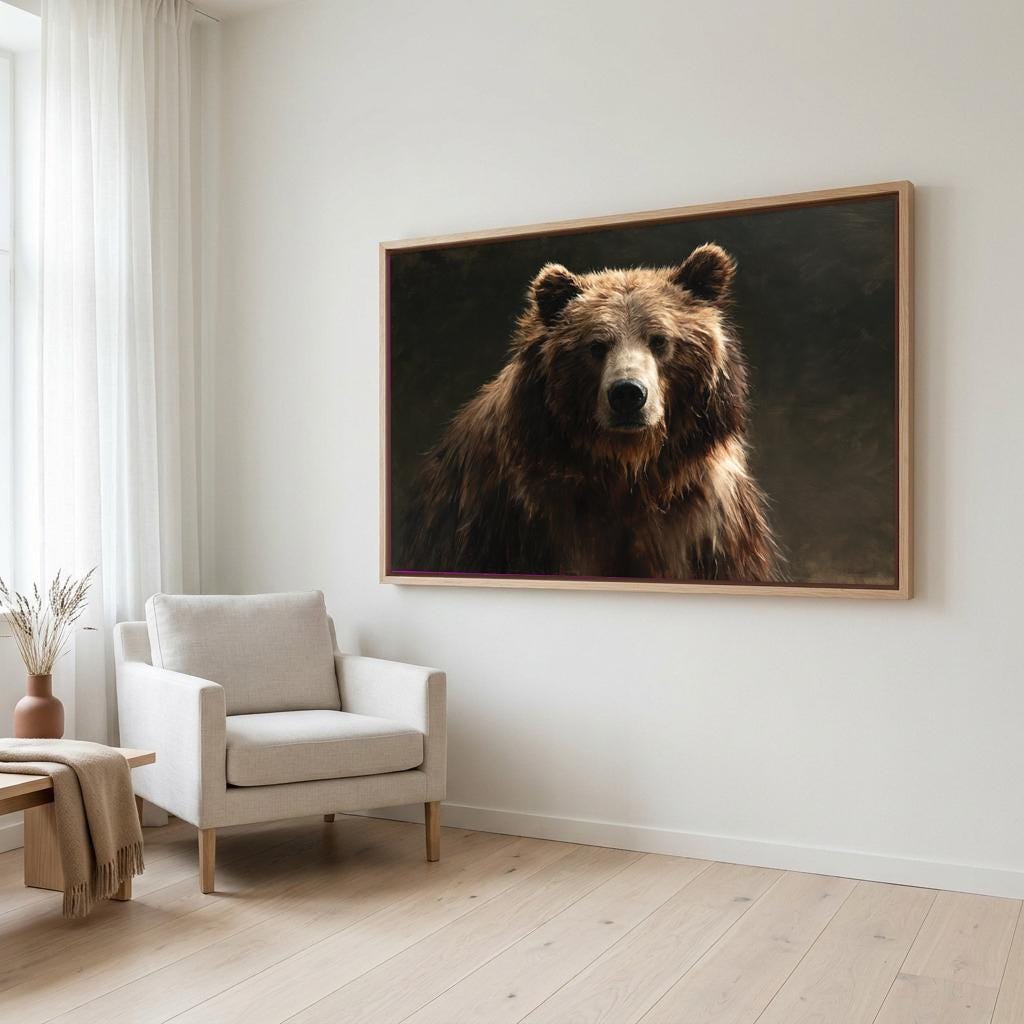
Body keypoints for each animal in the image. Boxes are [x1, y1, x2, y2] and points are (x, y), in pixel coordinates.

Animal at [400, 243, 781, 583]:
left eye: (659, 339)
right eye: (596, 345)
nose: (628, 394)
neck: (626, 471)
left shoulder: (703, 523)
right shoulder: (527, 516)